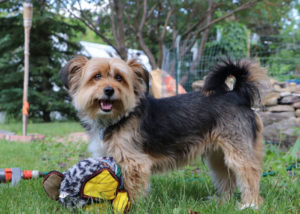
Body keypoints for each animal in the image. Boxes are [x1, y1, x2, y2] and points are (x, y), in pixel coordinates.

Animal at [59, 56, 268, 209]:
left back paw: (250, 204)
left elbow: (131, 189)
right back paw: (223, 202)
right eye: (96, 76)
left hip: (238, 152)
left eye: (119, 78)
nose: (109, 90)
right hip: (217, 156)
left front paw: (130, 206)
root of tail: (237, 94)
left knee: (250, 173)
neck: (120, 117)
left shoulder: (134, 163)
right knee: (227, 177)